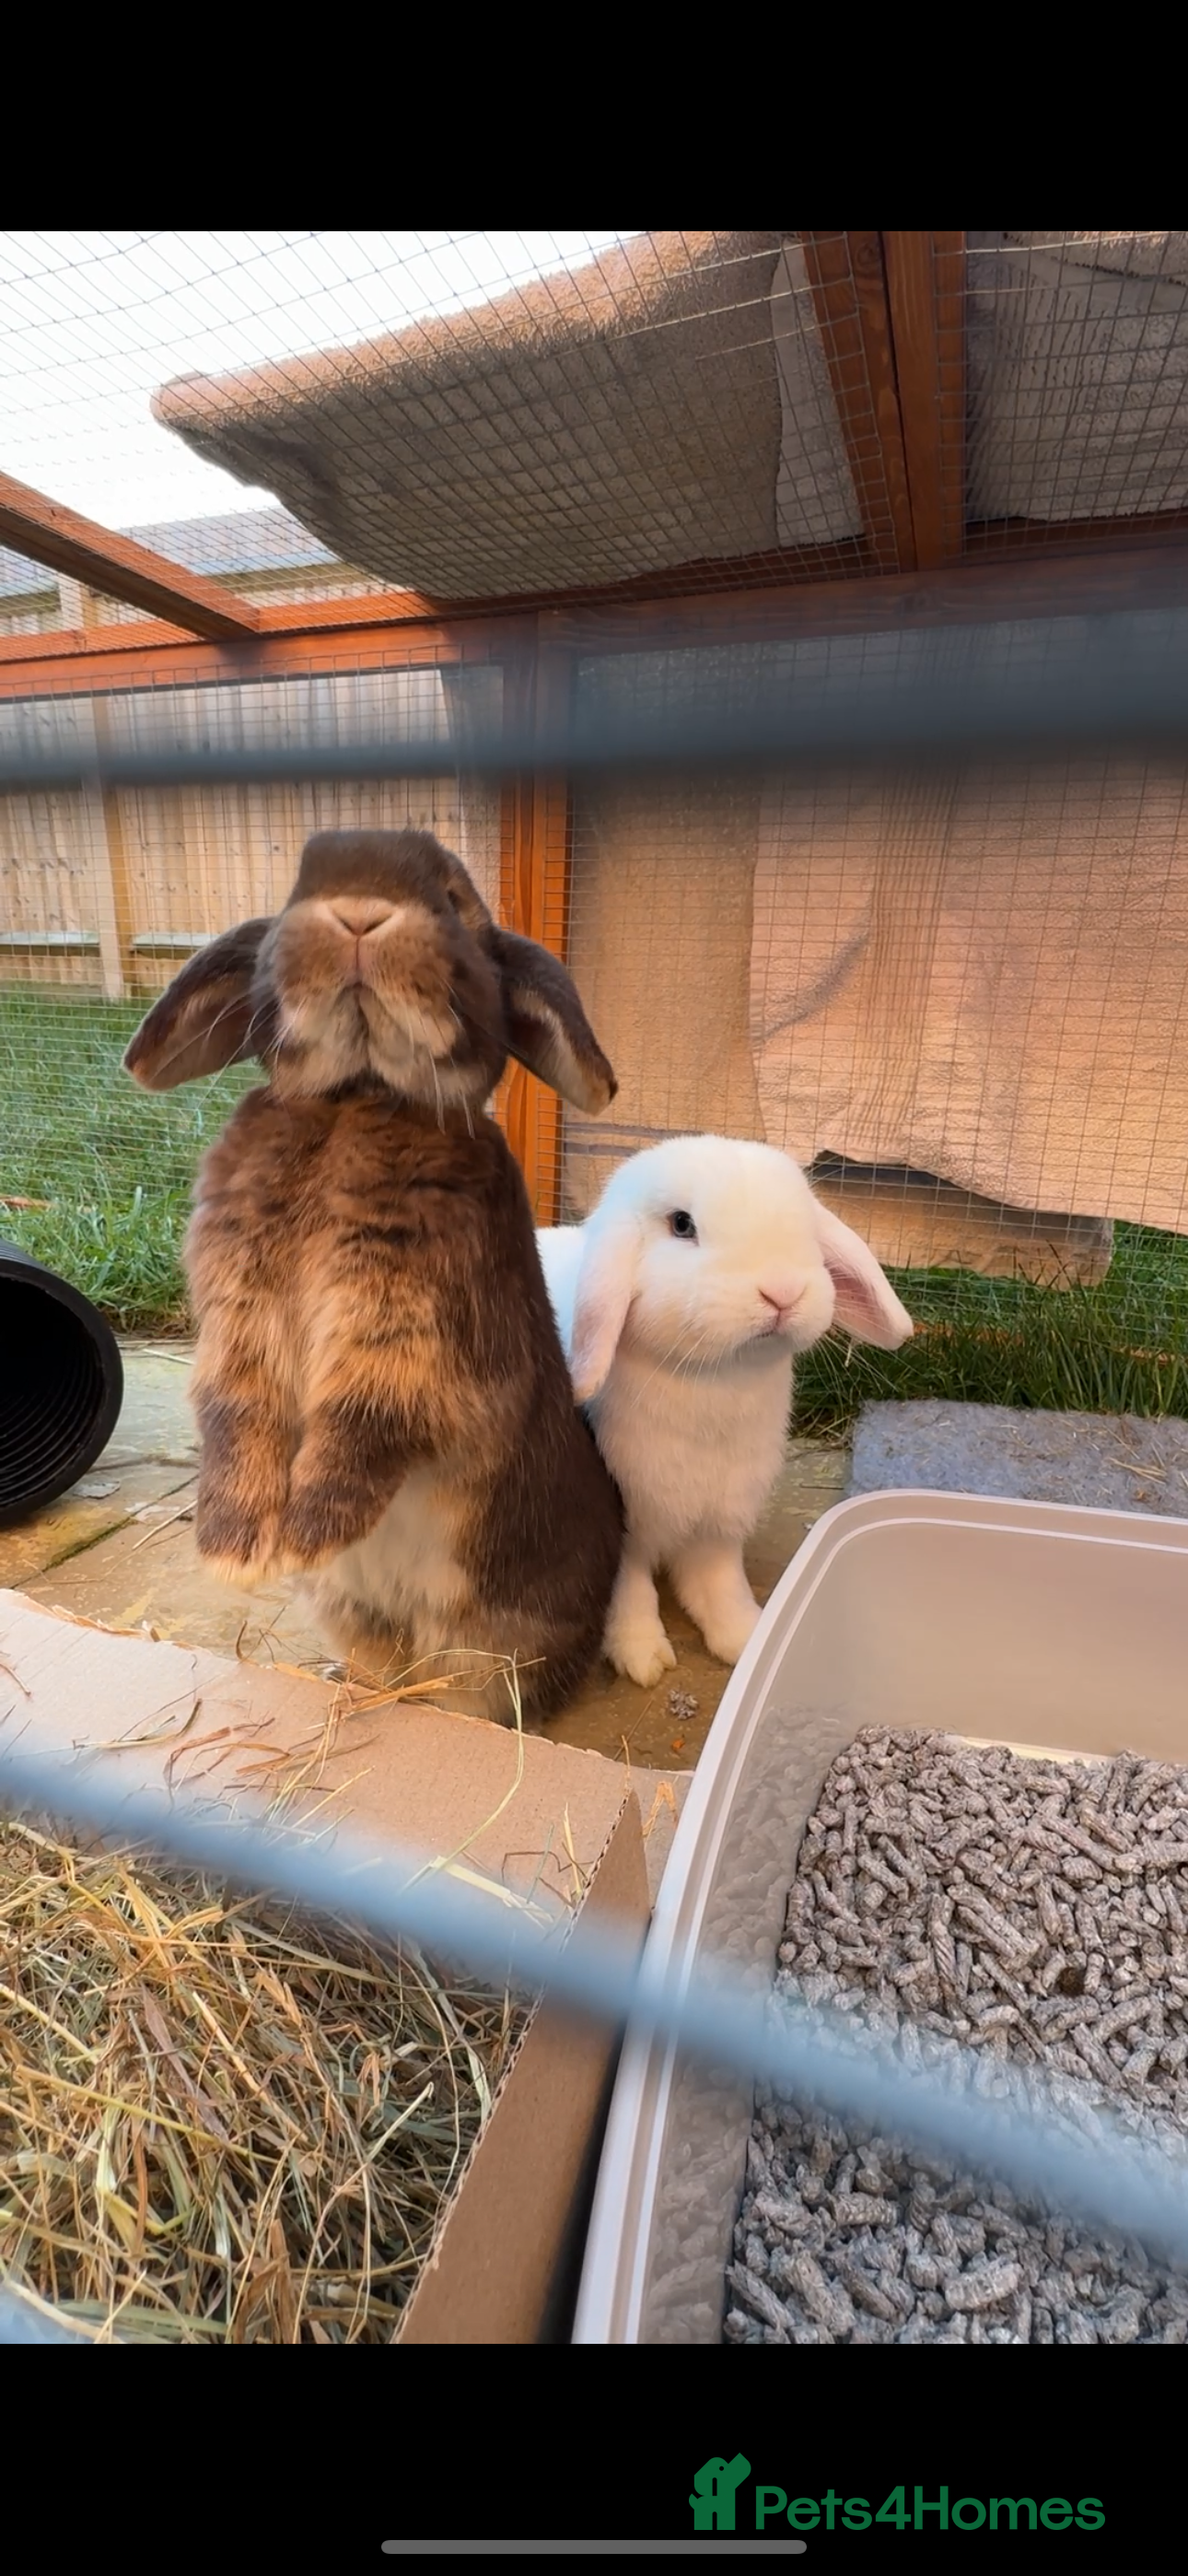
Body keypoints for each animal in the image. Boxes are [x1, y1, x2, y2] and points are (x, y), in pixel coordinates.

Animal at [122, 826, 625, 1727]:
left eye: (457, 902)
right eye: (297, 889)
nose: (358, 913)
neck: (355, 1097)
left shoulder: (407, 1340)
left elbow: (363, 1422)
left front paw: (305, 1533)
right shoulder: (238, 1328)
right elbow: (235, 1414)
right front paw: (236, 1550)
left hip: (497, 1643)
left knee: (472, 1694)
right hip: (354, 1613)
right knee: (386, 1664)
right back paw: (351, 1685)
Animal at [536, 1135, 913, 1689]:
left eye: (805, 1228)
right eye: (681, 1225)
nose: (782, 1291)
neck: (716, 1380)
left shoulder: (719, 1523)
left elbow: (719, 1584)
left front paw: (747, 1639)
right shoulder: (627, 1527)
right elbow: (630, 1592)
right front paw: (643, 1656)